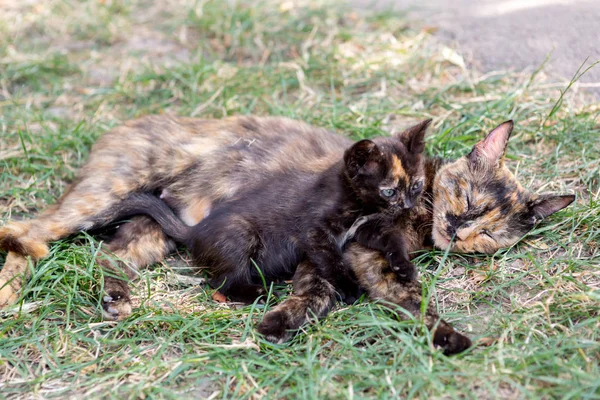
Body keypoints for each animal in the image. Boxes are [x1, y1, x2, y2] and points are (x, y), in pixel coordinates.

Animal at [0, 115, 576, 354]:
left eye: (490, 235)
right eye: (470, 200)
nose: (458, 231)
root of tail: (123, 125)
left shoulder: (370, 260)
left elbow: (407, 300)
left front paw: (447, 337)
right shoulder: (336, 242)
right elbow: (320, 286)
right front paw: (278, 321)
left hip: (154, 228)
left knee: (110, 256)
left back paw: (116, 298)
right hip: (101, 197)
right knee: (28, 232)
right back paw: (10, 292)